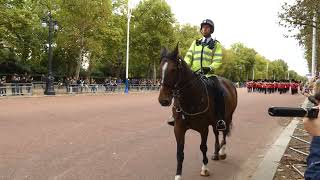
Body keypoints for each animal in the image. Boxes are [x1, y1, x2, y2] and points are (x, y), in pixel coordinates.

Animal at [158, 45, 238, 180]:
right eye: (160, 68)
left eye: (173, 69)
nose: (163, 100)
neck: (190, 99)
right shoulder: (179, 128)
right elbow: (180, 152)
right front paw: (178, 175)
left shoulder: (203, 128)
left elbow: (203, 147)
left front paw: (204, 169)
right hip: (215, 121)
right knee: (216, 133)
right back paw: (216, 153)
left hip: (227, 117)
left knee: (224, 132)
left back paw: (222, 152)